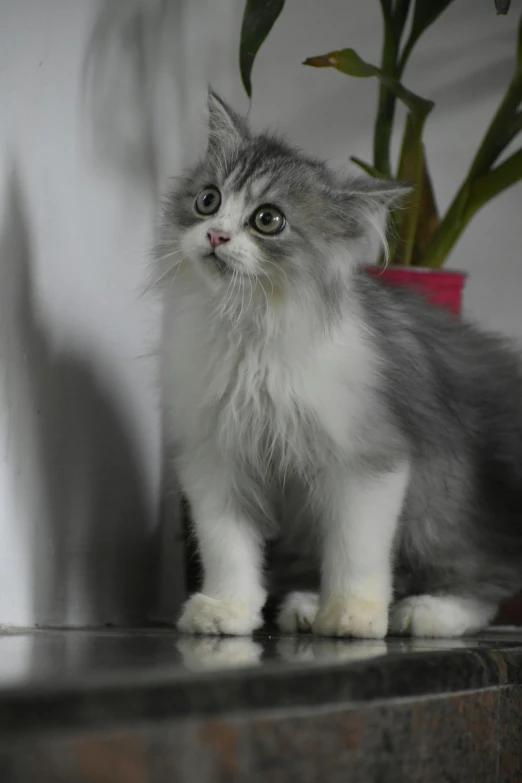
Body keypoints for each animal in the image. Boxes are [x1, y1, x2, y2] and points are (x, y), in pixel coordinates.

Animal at [156, 90, 520, 636]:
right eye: (208, 200)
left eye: (268, 219)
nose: (216, 236)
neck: (252, 327)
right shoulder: (214, 458)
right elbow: (227, 547)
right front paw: (227, 609)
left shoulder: (369, 460)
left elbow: (356, 550)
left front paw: (353, 615)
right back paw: (306, 604)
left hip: (442, 498)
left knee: (486, 579)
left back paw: (430, 612)